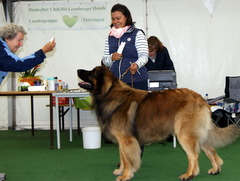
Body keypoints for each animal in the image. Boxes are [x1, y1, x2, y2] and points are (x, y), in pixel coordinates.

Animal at [78, 66, 239, 181]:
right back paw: (216, 168)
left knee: (193, 155)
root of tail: (200, 99)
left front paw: (126, 175)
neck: (109, 94)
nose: (78, 70)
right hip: (199, 133)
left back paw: (189, 174)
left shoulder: (126, 139)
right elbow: (123, 157)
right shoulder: (122, 139)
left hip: (185, 133)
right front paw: (121, 170)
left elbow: (128, 159)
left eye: (92, 72)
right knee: (210, 149)